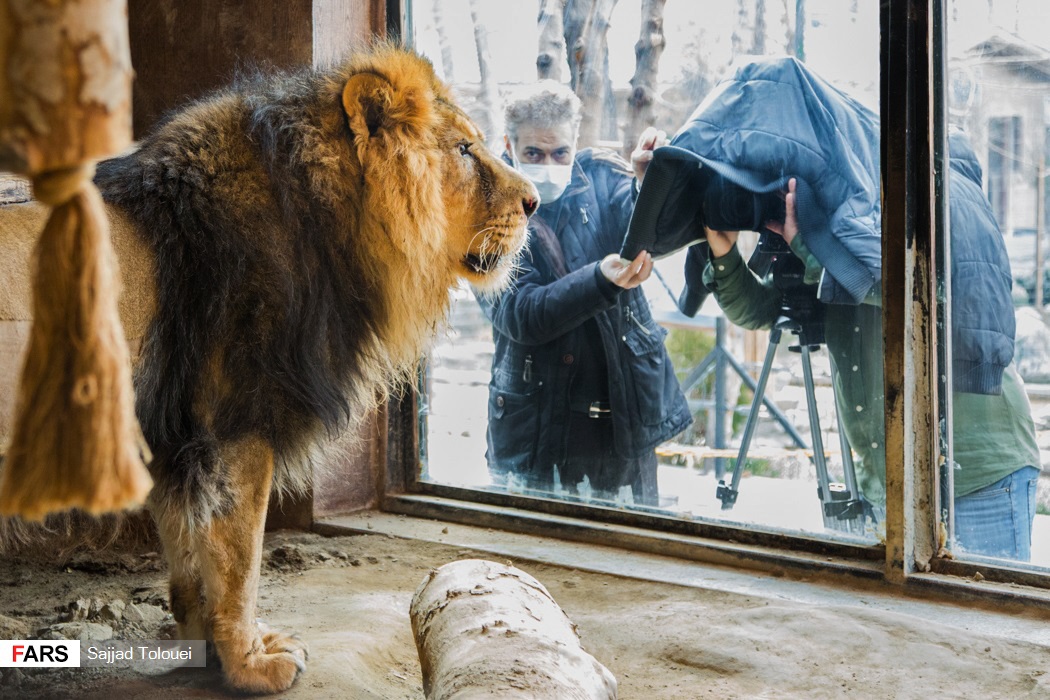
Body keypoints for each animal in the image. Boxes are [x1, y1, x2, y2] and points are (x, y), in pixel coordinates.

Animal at [0, 46, 537, 692]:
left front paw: (204, 649)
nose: (536, 201)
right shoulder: (235, 429)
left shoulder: (174, 441)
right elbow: (239, 562)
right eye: (463, 149)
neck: (328, 225)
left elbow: (190, 561)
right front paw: (252, 663)